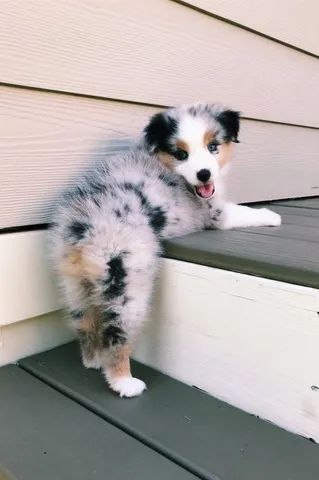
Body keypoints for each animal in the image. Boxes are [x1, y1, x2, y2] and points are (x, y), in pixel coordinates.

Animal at [48, 102, 282, 398]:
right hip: (128, 284)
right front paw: (271, 215)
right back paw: (124, 382)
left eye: (213, 146)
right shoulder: (214, 214)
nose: (204, 174)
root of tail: (82, 230)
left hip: (74, 285)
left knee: (85, 323)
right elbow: (240, 211)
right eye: (181, 154)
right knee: (117, 335)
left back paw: (92, 360)